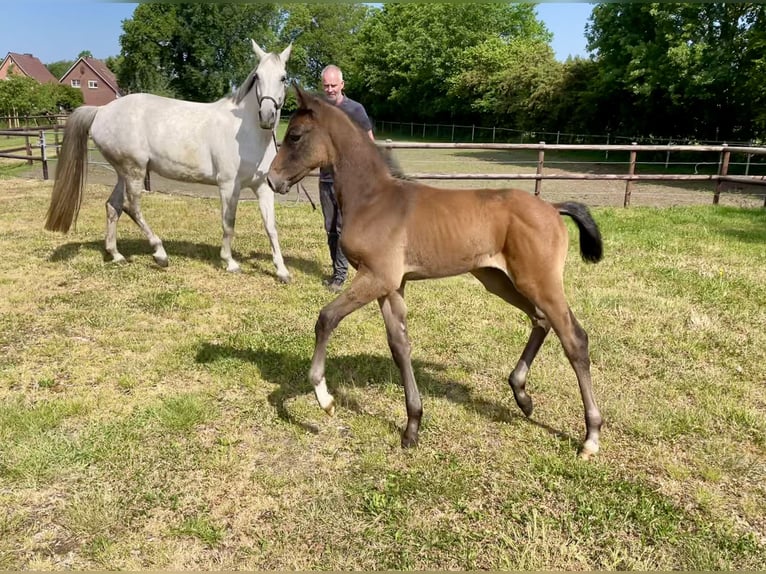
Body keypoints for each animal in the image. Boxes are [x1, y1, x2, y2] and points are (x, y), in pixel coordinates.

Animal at [270, 88, 608, 462]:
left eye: (295, 135)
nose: (272, 180)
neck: (373, 199)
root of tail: (552, 208)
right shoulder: (391, 285)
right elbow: (399, 344)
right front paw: (412, 426)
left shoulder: (376, 277)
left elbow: (326, 318)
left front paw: (324, 398)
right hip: (498, 279)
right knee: (541, 320)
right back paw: (522, 396)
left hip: (539, 281)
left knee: (574, 339)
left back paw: (591, 436)